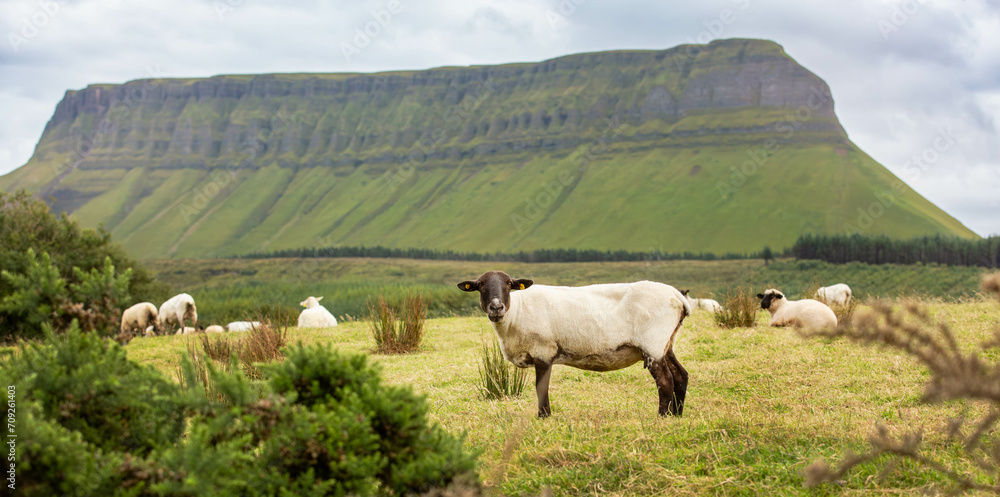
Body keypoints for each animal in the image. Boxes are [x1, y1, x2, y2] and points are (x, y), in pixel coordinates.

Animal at [458, 270, 691, 417]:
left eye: (508, 284)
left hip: (653, 343)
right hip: (667, 343)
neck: (516, 312)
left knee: (665, 380)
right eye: (480, 286)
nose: (496, 307)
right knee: (681, 375)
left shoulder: (543, 351)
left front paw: (544, 416)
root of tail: (677, 296)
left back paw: (662, 416)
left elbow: (541, 387)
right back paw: (676, 416)